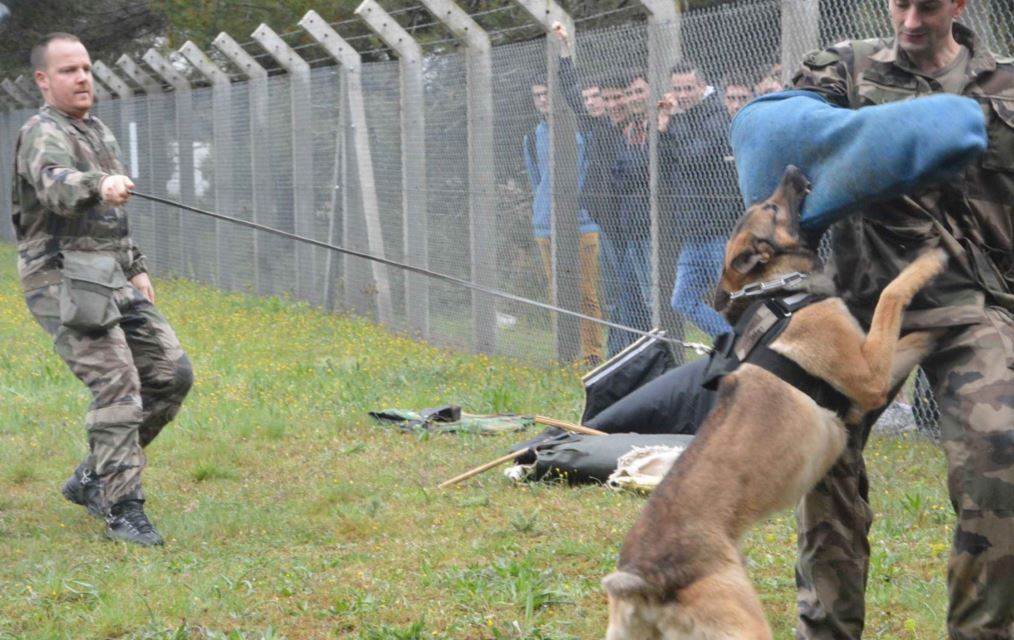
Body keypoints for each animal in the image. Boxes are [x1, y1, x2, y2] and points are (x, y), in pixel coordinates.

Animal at [600, 166, 940, 640]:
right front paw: (932, 267)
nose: (794, 170)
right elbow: (892, 297)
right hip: (745, 623)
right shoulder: (870, 376)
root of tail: (639, 580)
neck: (780, 292)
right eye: (773, 208)